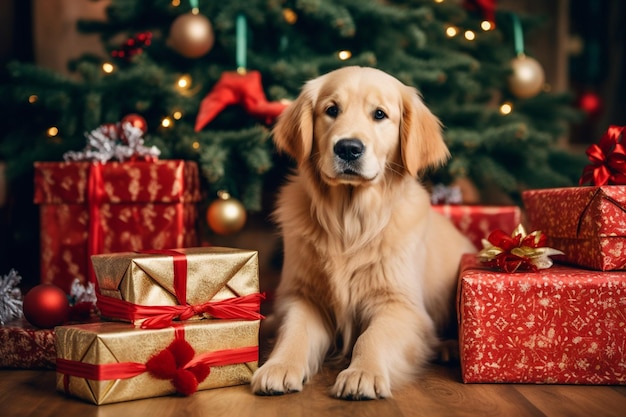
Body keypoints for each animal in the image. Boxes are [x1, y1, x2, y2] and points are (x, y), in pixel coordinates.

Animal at [249, 66, 472, 398]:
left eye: (379, 114)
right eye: (331, 110)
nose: (348, 148)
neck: (350, 223)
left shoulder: (401, 305)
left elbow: (372, 336)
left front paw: (362, 373)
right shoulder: (303, 296)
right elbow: (294, 330)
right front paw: (279, 366)